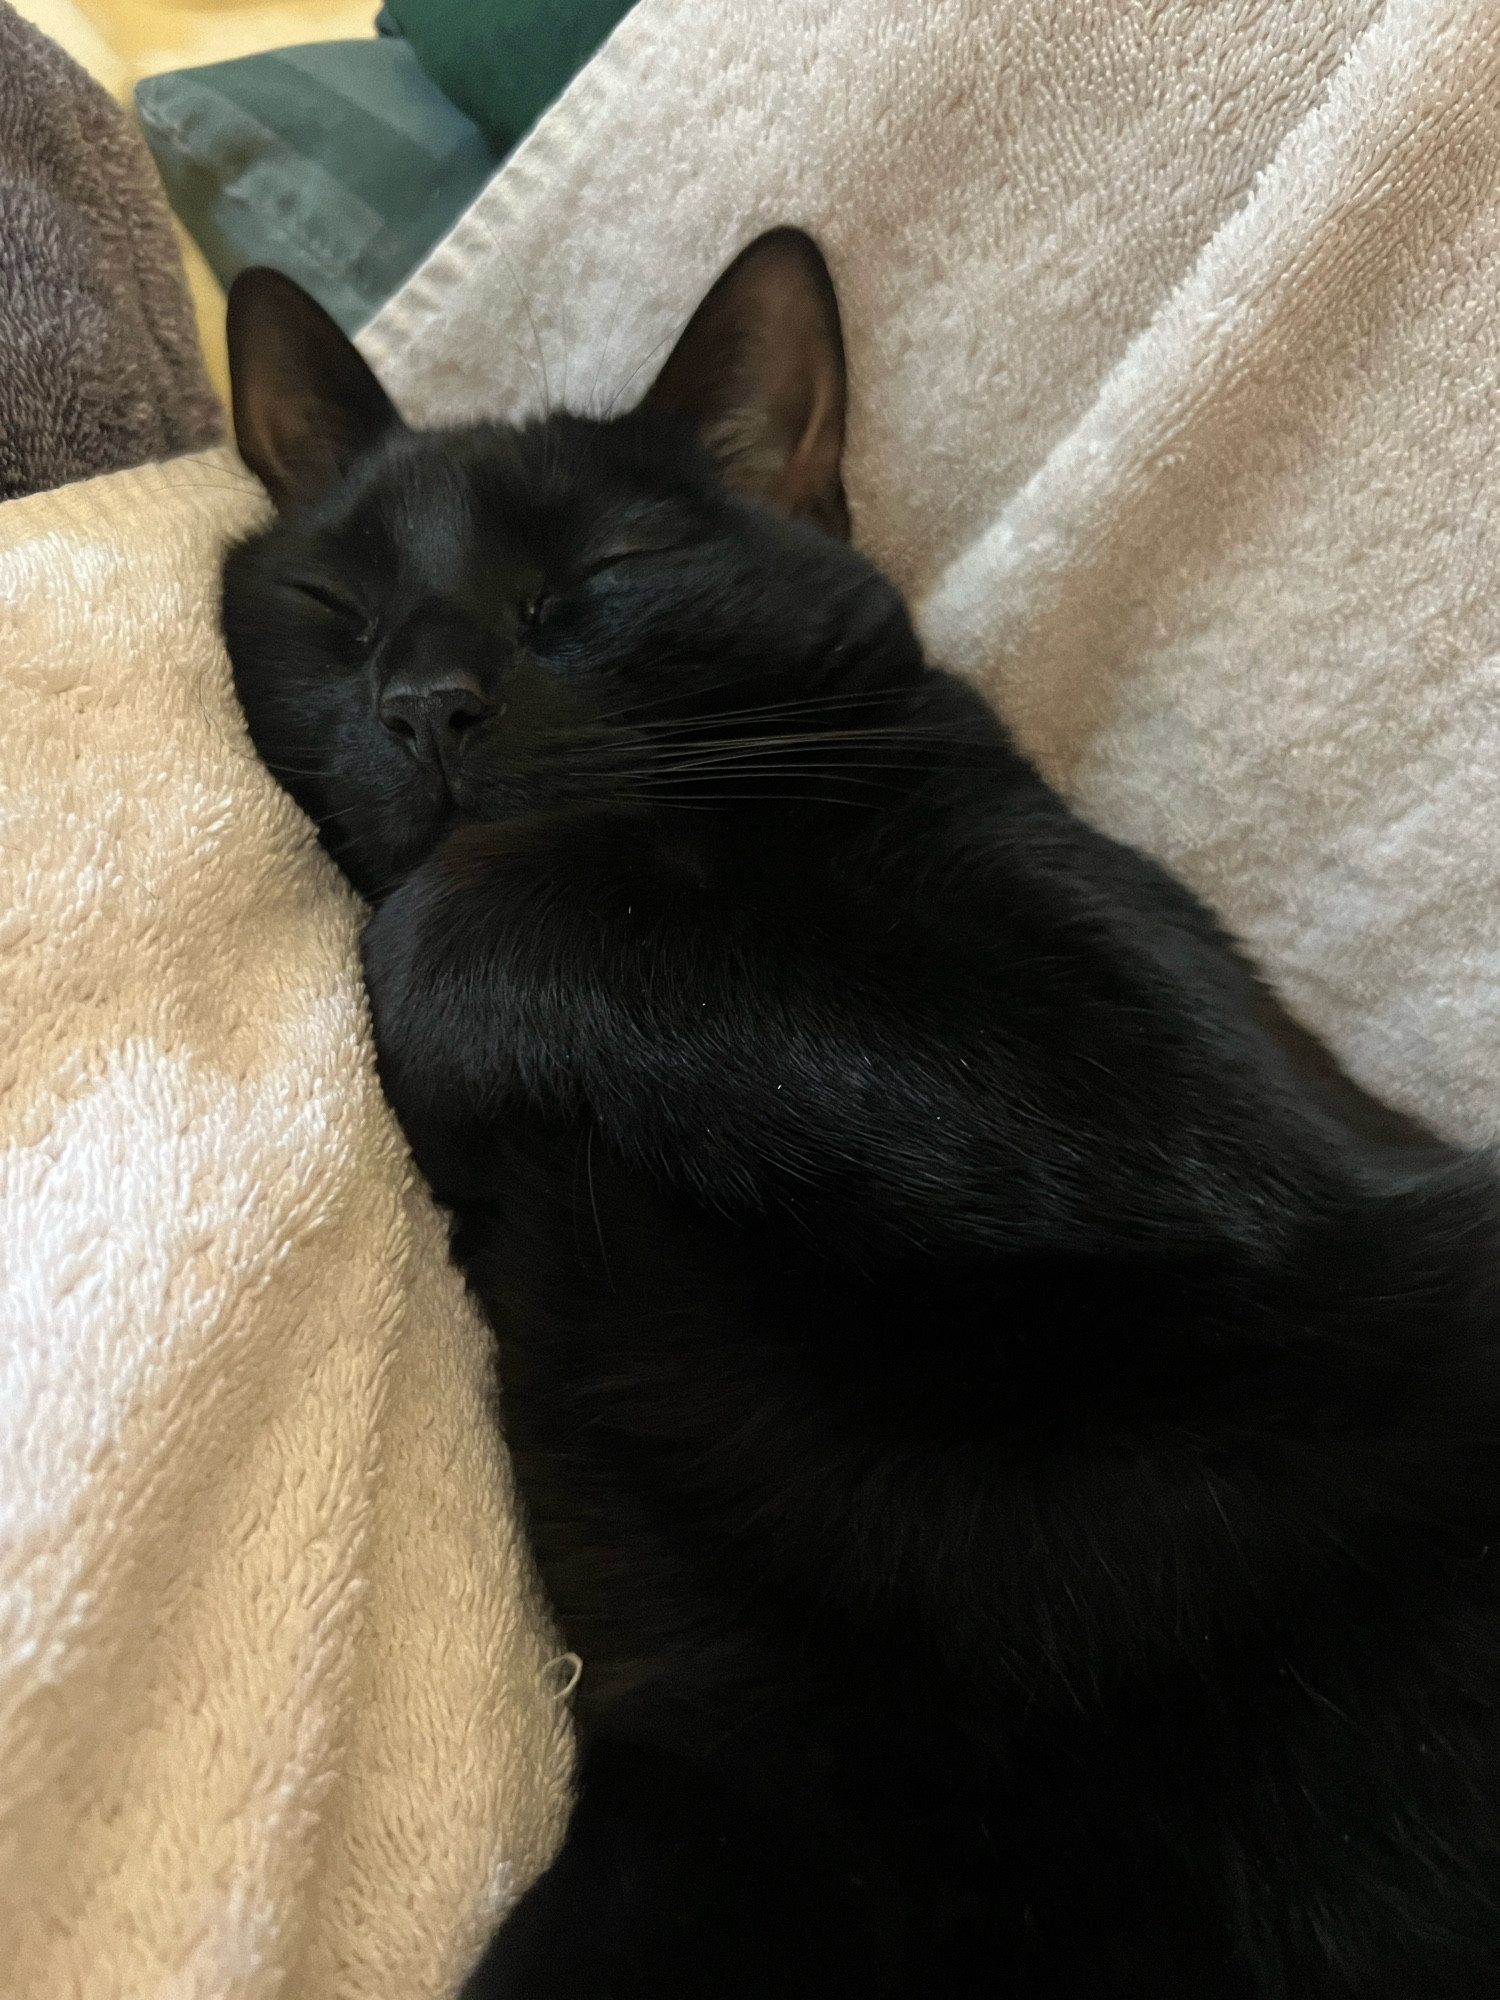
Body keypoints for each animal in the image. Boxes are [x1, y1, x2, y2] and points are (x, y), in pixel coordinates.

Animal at [220, 230, 1500, 1984]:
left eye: (604, 572)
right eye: (330, 606)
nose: (426, 698)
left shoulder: (1153, 1093)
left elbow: (528, 917)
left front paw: (439, 1028)